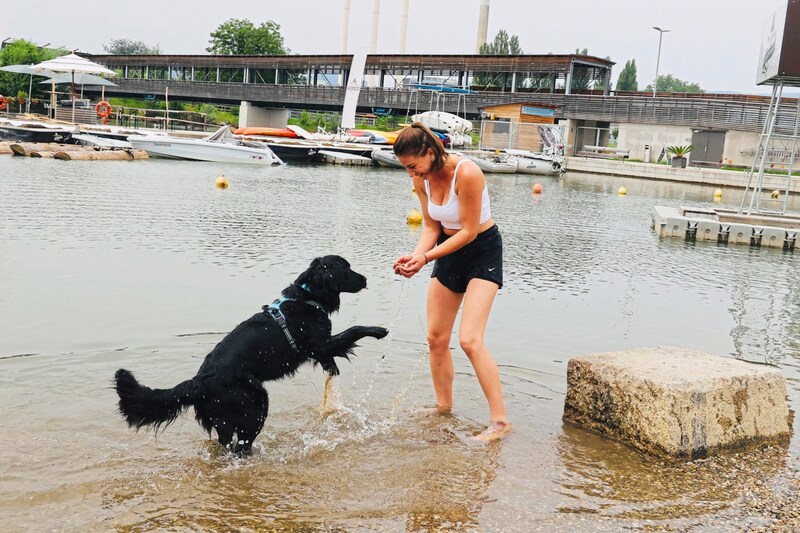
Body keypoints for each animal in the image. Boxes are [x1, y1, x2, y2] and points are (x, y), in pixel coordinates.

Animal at [113, 256, 388, 456]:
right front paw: (378, 330)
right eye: (346, 269)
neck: (308, 298)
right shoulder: (319, 345)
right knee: (242, 446)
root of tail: (201, 380)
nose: (365, 279)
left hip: (224, 421)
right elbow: (352, 331)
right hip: (255, 404)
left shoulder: (320, 350)